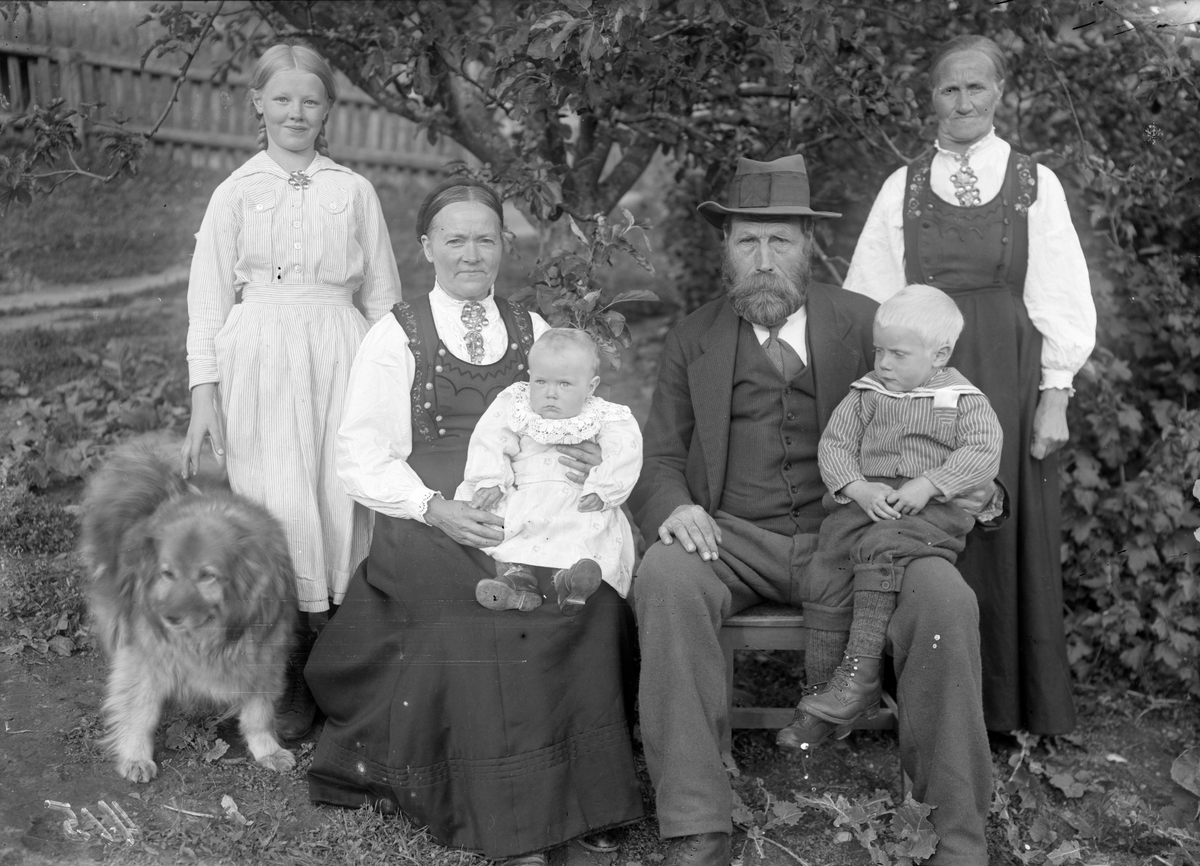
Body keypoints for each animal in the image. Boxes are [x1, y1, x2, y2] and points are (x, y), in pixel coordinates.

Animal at [79, 441, 297, 777]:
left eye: (207, 575)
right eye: (167, 573)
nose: (169, 617)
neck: (209, 636)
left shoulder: (264, 655)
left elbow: (258, 712)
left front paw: (268, 750)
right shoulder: (147, 655)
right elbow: (140, 710)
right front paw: (135, 756)